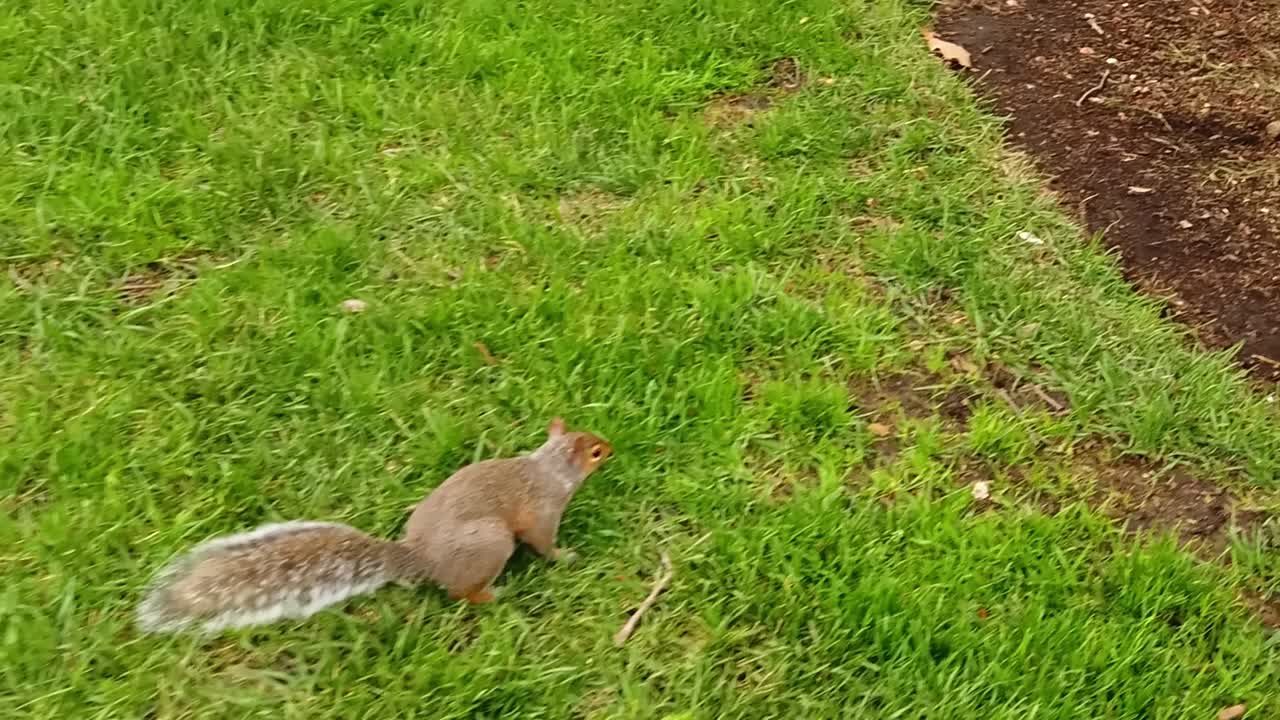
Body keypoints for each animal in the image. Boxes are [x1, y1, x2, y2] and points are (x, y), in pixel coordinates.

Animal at [136, 417, 612, 633]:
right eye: (594, 452)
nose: (612, 447)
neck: (549, 468)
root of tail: (418, 560)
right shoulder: (544, 511)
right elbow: (542, 541)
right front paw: (565, 555)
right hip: (491, 544)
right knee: (461, 592)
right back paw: (493, 594)